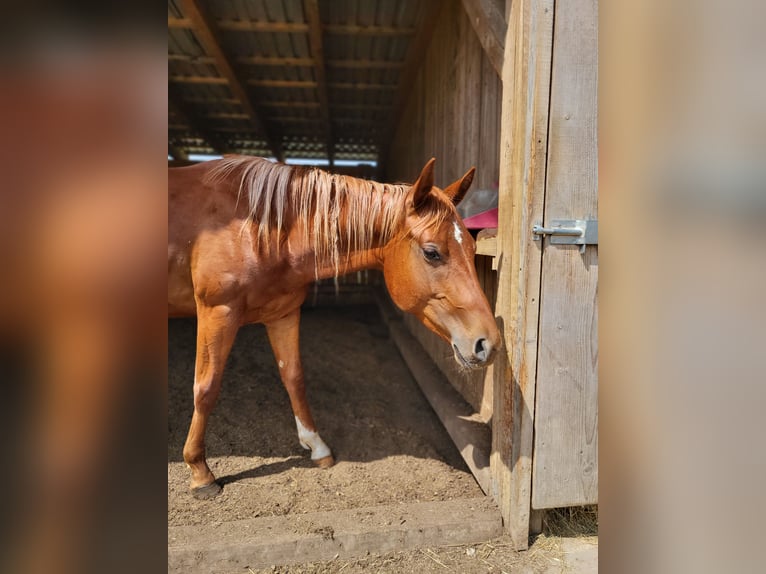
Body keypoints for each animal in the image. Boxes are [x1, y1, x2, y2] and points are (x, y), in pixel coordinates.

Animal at [168, 156, 501, 498]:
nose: (488, 343)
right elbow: (206, 388)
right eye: (432, 253)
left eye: (472, 249)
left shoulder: (283, 314)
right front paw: (200, 471)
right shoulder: (217, 313)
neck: (257, 227)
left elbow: (294, 378)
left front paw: (316, 446)